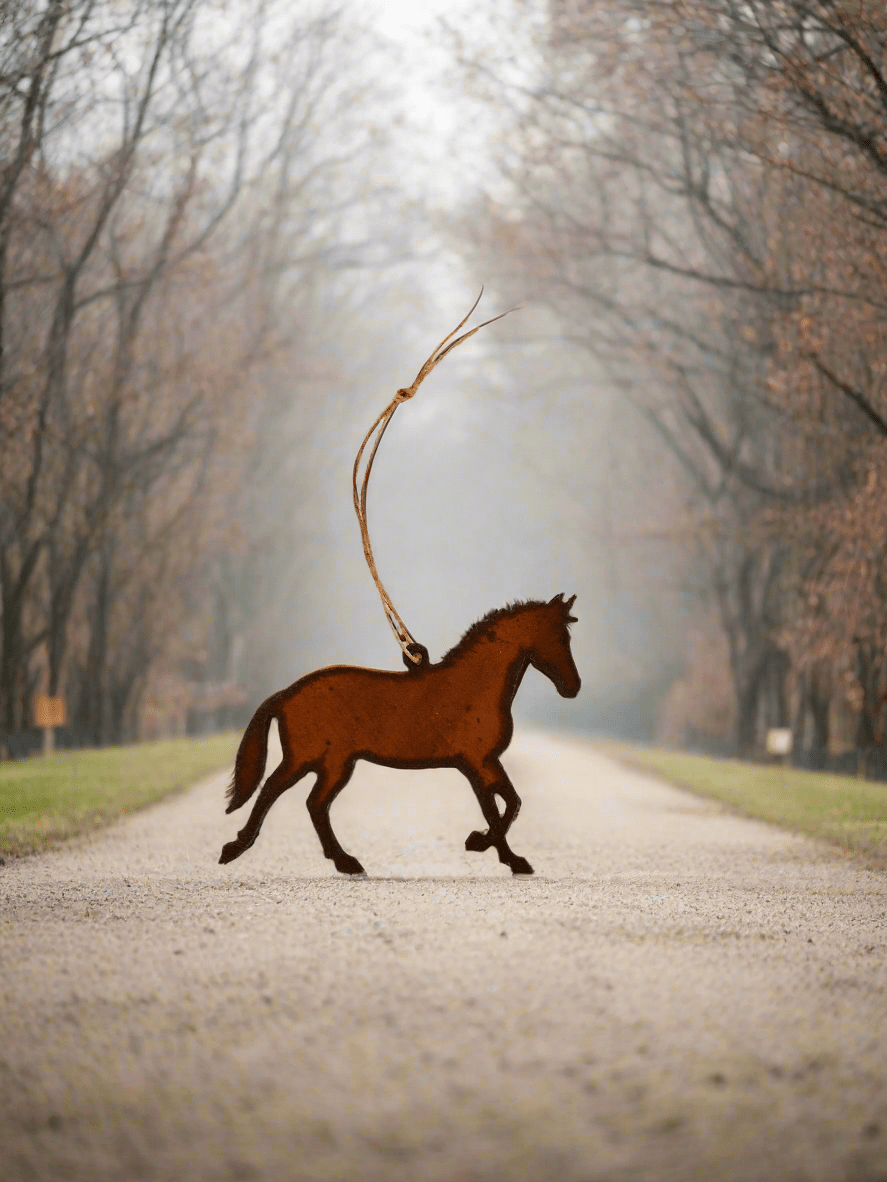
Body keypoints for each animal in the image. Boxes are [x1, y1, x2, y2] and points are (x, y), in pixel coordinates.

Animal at [219, 593, 579, 876]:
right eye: (561, 638)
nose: (572, 688)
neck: (476, 685)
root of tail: (286, 694)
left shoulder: (485, 762)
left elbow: (508, 804)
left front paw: (502, 854)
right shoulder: (477, 762)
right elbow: (499, 809)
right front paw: (485, 846)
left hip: (333, 764)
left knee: (314, 804)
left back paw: (345, 862)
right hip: (307, 759)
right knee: (272, 790)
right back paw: (235, 848)